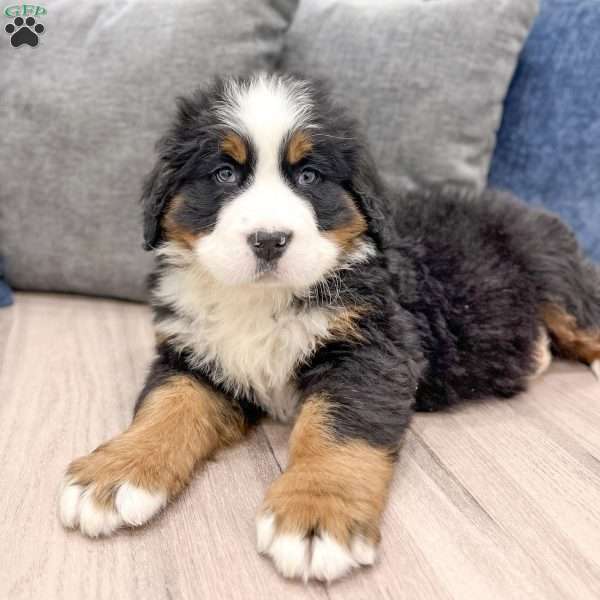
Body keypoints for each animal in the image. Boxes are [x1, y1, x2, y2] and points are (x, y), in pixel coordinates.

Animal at [61, 72, 600, 584]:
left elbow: (336, 431)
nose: (269, 240)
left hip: (557, 280)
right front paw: (115, 472)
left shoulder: (370, 351)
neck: (261, 300)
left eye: (309, 175)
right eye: (224, 173)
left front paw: (315, 512)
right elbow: (165, 406)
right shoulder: (192, 352)